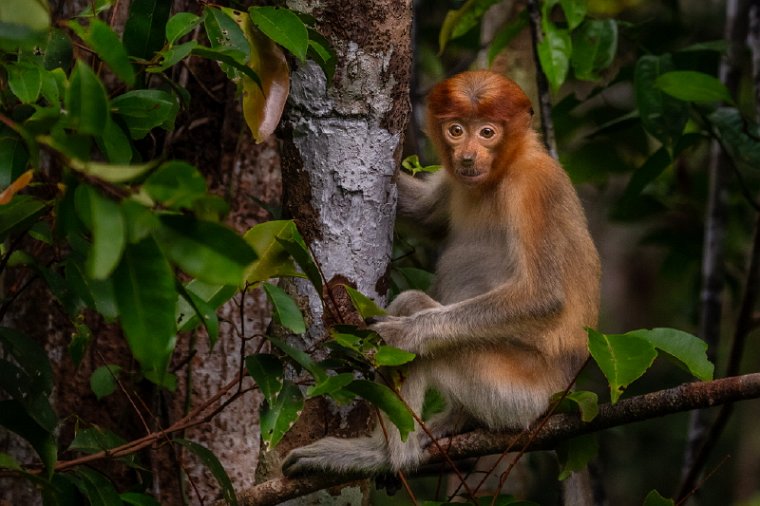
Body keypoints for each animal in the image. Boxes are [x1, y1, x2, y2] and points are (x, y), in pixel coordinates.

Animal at [282, 70, 604, 478]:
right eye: (456, 130)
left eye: (487, 132)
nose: (467, 156)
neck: (504, 170)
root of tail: (564, 392)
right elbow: (426, 217)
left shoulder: (535, 187)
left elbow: (544, 297)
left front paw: (405, 332)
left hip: (517, 393)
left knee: (423, 333)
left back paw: (386, 457)